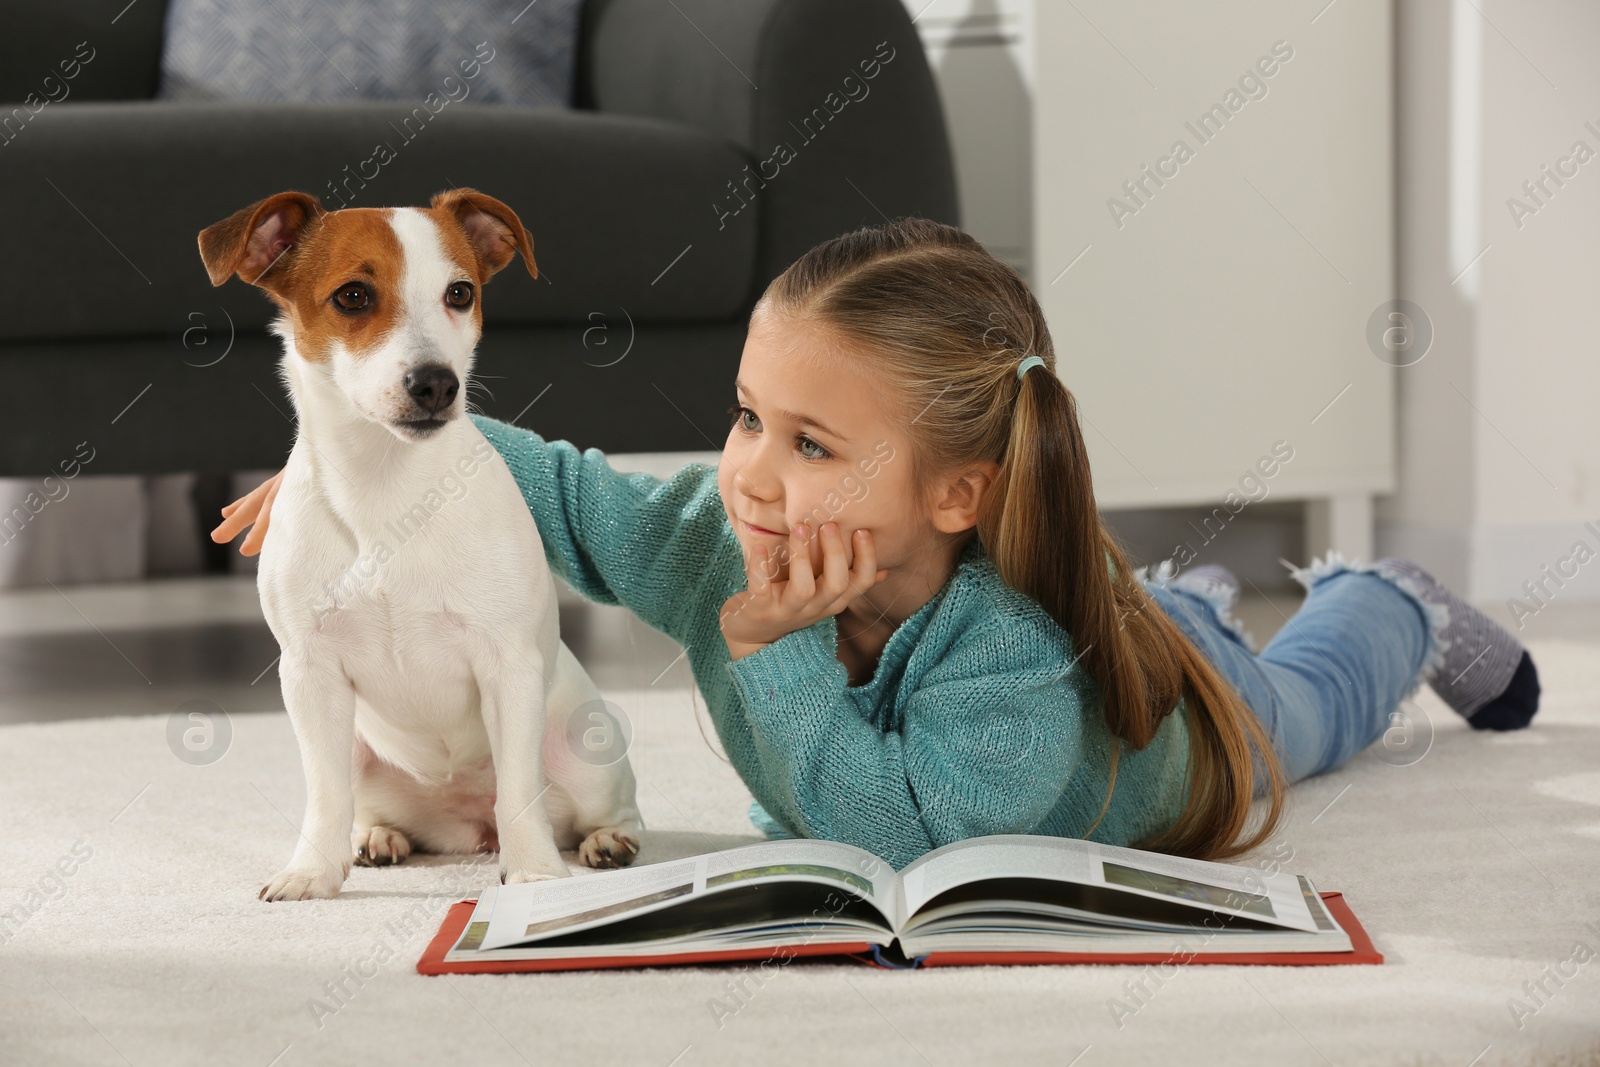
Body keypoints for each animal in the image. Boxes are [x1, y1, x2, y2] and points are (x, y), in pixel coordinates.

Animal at [200, 189, 643, 902]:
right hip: (364, 752)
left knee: (598, 808)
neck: (386, 489)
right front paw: (312, 872)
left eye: (460, 293)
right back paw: (376, 837)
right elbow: (324, 794)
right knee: (361, 802)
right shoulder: (310, 674)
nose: (436, 383)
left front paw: (535, 874)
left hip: (586, 753)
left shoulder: (508, 667)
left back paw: (606, 842)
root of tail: (464, 825)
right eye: (353, 296)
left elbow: (520, 789)